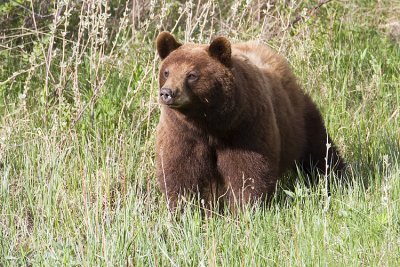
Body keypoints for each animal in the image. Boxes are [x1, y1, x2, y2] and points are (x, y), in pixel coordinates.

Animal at [155, 30, 346, 211]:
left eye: (192, 75)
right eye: (166, 72)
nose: (167, 92)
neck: (208, 122)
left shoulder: (245, 127)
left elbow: (248, 172)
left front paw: (245, 208)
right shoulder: (182, 132)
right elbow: (181, 172)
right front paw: (184, 210)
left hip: (300, 119)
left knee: (320, 151)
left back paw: (337, 178)